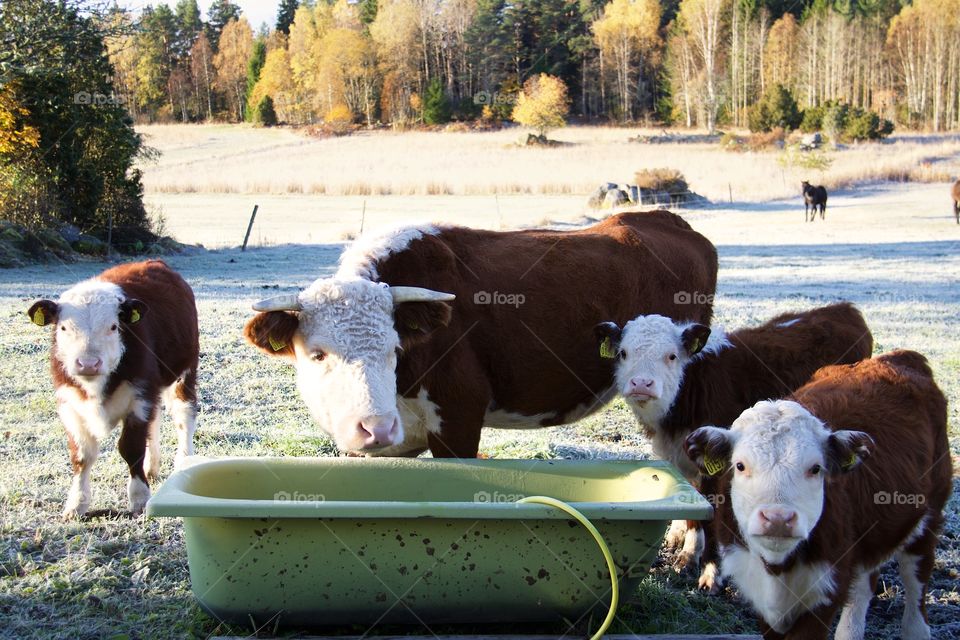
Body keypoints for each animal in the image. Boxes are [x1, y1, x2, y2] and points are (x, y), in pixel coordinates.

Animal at [27, 260, 199, 518]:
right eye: (64, 328)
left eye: (113, 327)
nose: (88, 363)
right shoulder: (69, 404)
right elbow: (82, 455)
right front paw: (76, 504)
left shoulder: (139, 398)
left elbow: (131, 447)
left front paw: (139, 499)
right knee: (155, 422)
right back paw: (152, 468)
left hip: (183, 373)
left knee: (183, 417)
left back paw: (183, 462)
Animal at [594, 302, 873, 591]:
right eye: (623, 353)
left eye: (671, 356)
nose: (641, 384)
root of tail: (843, 308)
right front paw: (686, 552)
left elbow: (711, 515)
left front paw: (709, 571)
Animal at [685, 351, 952, 640]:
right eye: (740, 465)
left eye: (815, 468)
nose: (778, 519)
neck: (778, 568)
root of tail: (902, 357)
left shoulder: (825, 594)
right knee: (864, 585)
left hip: (928, 517)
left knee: (916, 584)